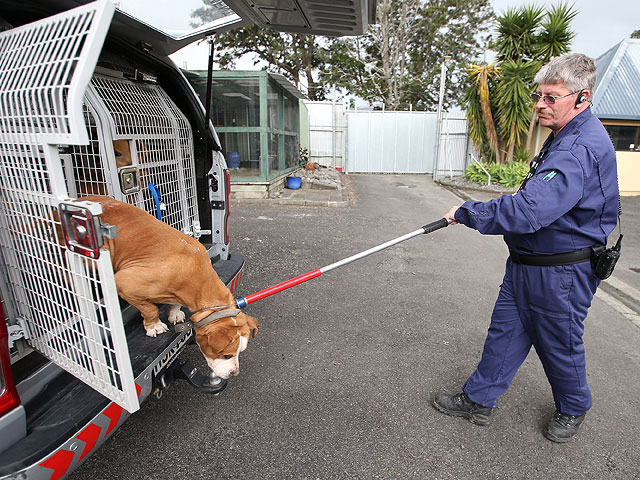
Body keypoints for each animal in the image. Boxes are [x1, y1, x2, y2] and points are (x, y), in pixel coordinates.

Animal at [79, 195, 258, 378]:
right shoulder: (123, 282)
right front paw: (155, 326)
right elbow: (150, 309)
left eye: (240, 352)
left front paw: (175, 313)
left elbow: (175, 303)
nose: (234, 372)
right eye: (226, 355)